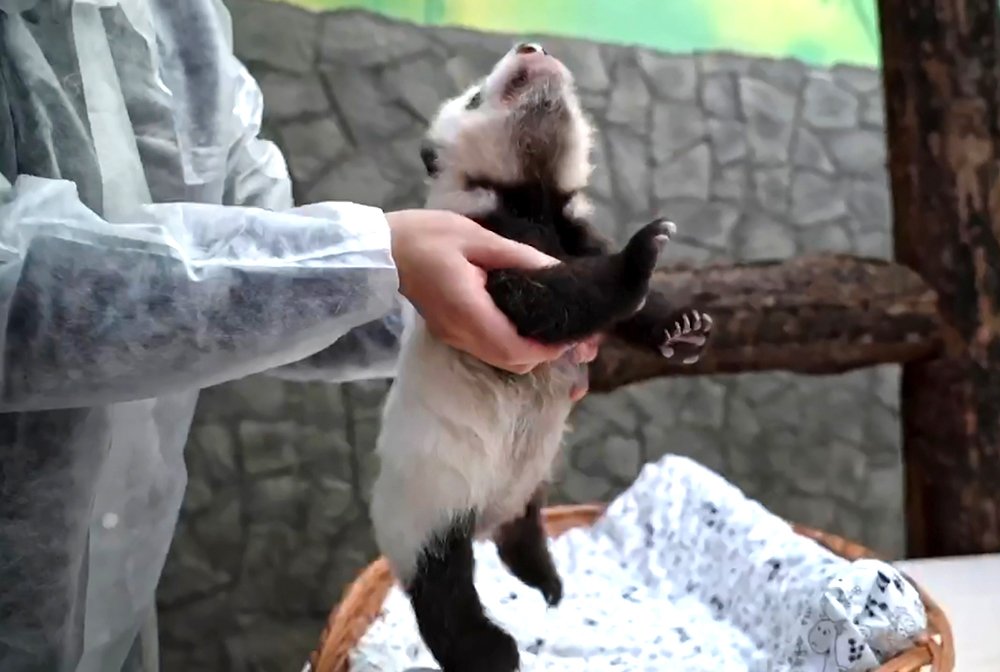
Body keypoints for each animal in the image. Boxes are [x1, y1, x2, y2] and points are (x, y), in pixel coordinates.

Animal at [368, 43, 712, 672]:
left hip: (528, 484)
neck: (533, 189)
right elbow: (541, 298)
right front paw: (641, 255)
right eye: (475, 96)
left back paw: (545, 581)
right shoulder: (484, 237)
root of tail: (486, 517)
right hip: (424, 507)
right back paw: (492, 651)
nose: (532, 47)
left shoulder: (574, 229)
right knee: (443, 591)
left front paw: (680, 328)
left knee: (523, 535)